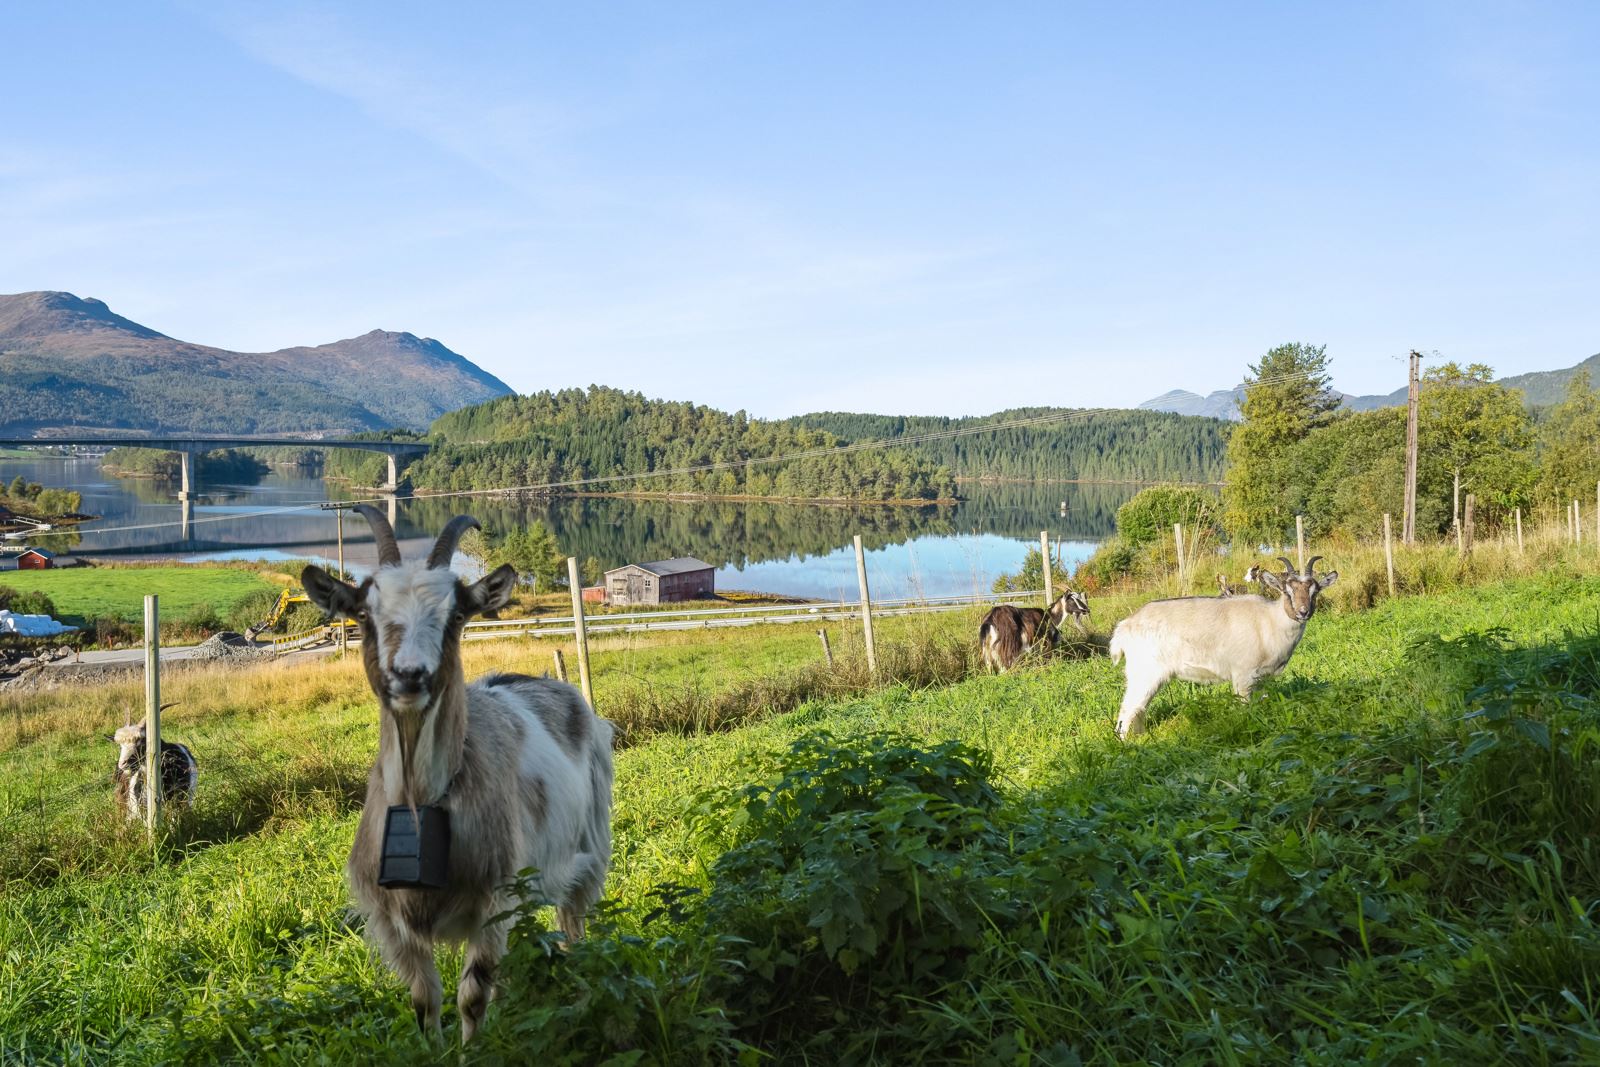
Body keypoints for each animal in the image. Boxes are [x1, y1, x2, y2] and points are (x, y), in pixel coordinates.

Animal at [302, 508, 614, 1043]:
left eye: (456, 616)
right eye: (363, 613)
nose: (410, 675)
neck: (419, 802)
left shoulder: (494, 898)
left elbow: (471, 996)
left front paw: (474, 1048)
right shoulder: (390, 920)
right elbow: (424, 1001)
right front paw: (435, 1046)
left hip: (587, 846)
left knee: (574, 923)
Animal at [1107, 559, 1331, 742]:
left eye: (1315, 591)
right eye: (1287, 591)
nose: (1303, 612)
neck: (1270, 621)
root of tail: (1125, 626)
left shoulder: (1262, 678)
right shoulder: (1243, 674)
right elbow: (1244, 707)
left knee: (1139, 707)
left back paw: (1141, 736)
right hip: (1144, 671)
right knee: (1129, 707)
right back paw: (1127, 744)